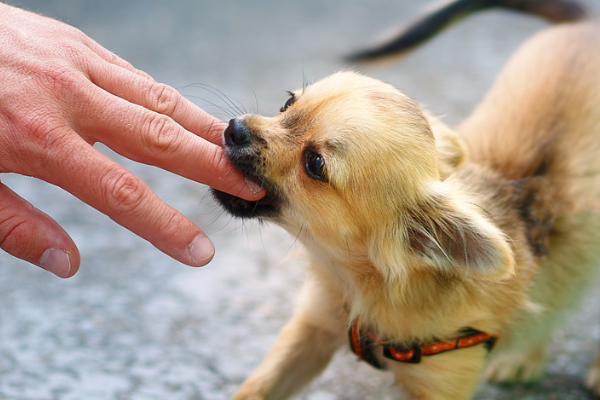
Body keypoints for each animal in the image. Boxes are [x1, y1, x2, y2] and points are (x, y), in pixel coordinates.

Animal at [213, 1, 600, 398]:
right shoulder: (312, 329)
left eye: (315, 164)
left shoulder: (442, 385)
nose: (234, 129)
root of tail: (588, 26)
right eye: (287, 104)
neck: (364, 285)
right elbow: (255, 389)